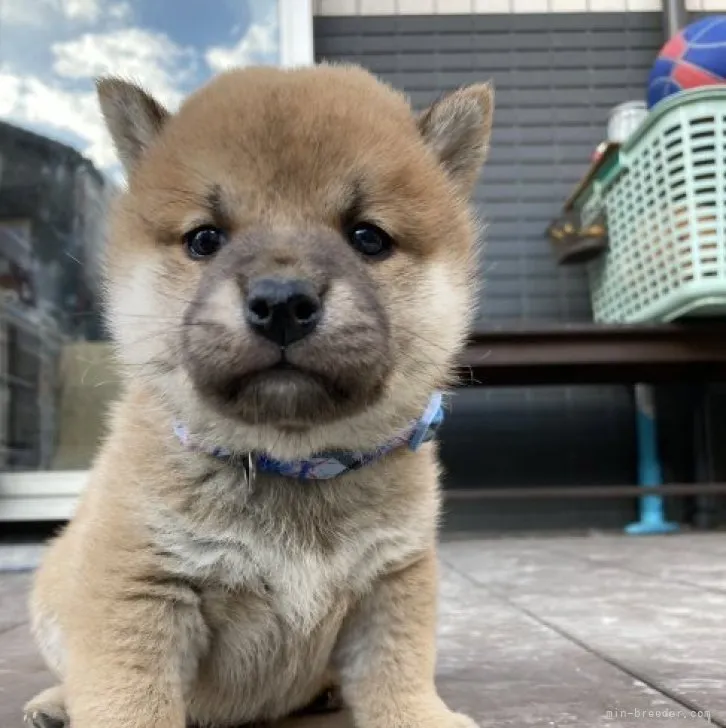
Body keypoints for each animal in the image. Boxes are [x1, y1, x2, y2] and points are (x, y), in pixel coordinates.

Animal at [27, 64, 494, 728]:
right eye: (205, 239)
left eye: (367, 237)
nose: (281, 302)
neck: (289, 465)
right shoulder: (139, 588)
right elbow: (129, 696)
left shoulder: (393, 579)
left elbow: (397, 676)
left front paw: (422, 716)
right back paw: (53, 703)